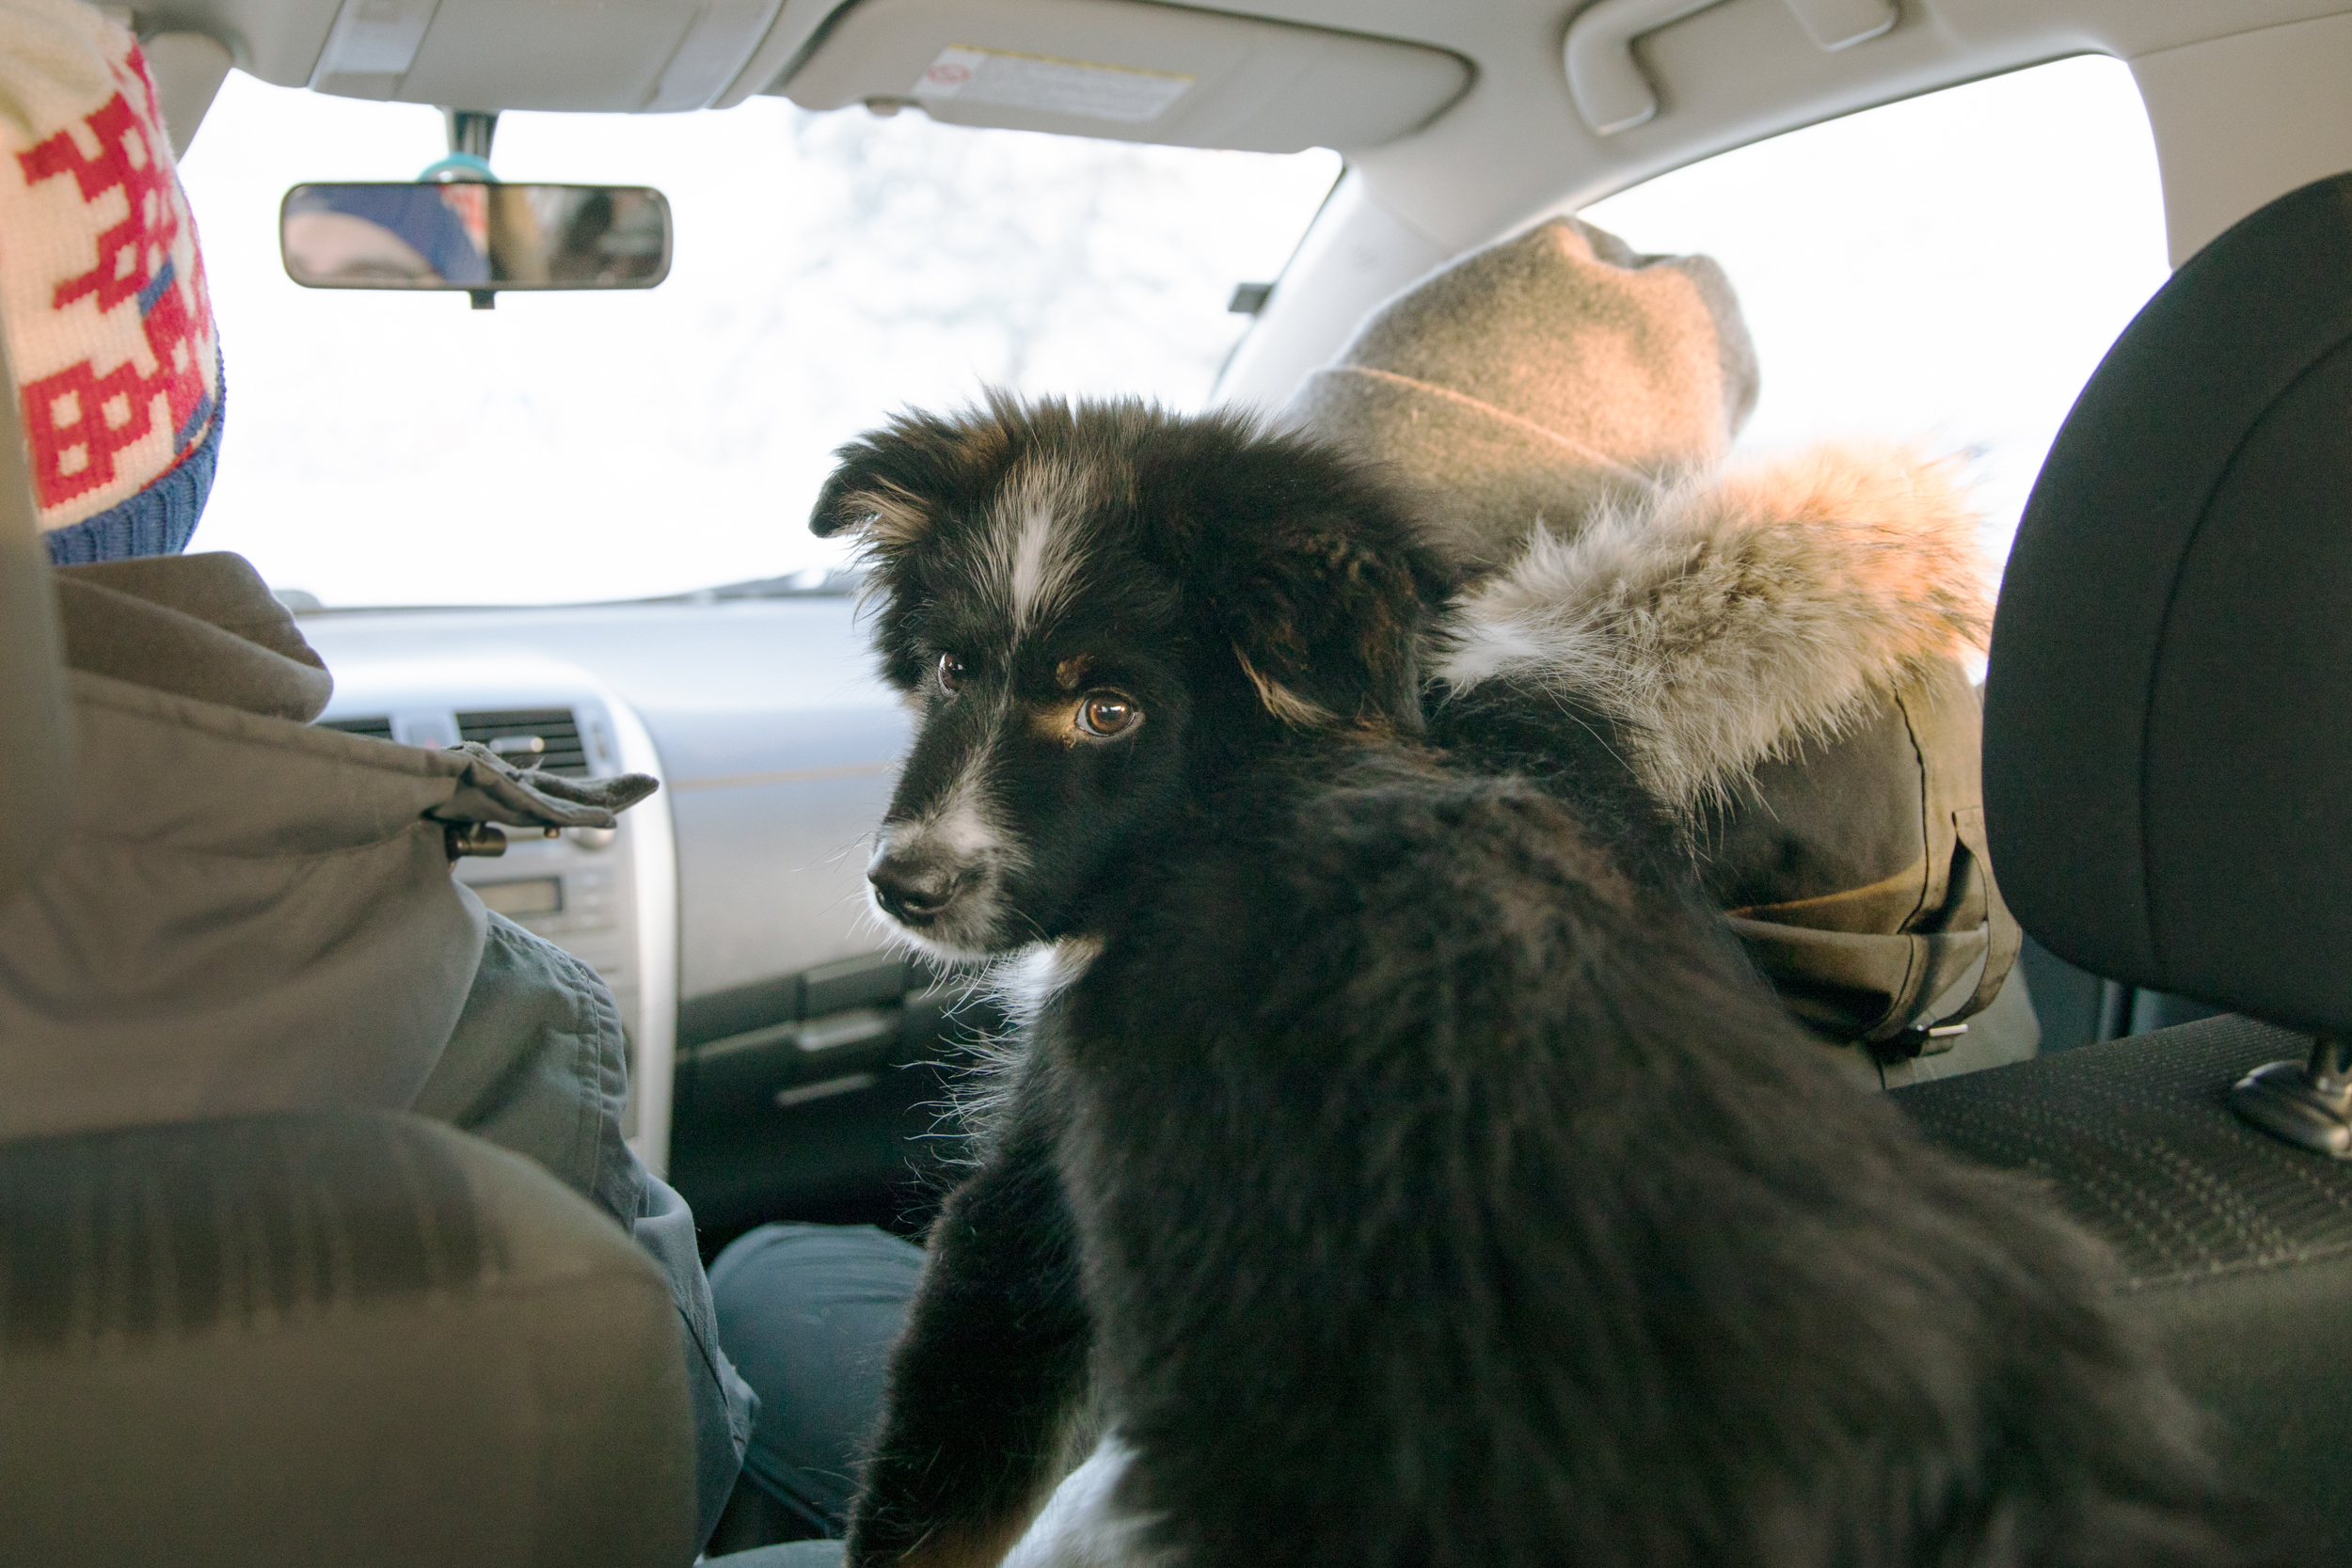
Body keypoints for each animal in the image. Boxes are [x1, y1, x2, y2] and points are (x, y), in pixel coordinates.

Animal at [811, 393, 2244, 1568]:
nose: (902, 883)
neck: (1296, 764)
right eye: (951, 669)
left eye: (1108, 709)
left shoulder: (1029, 1208)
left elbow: (931, 1495)